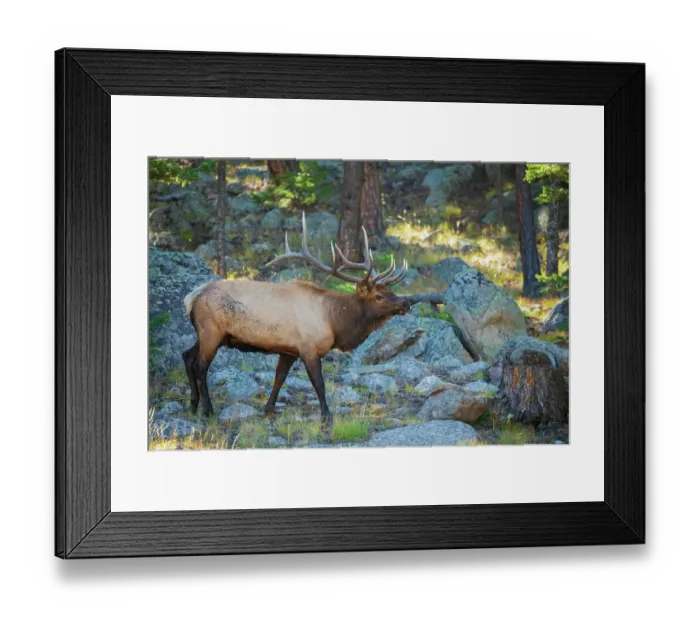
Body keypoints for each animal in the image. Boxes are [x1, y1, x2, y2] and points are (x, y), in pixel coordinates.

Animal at [182, 212, 415, 424]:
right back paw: (207, 410)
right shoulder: (308, 347)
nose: (406, 303)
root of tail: (192, 297)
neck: (334, 322)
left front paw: (269, 409)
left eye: (391, 290)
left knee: (187, 356)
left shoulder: (289, 350)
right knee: (200, 366)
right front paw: (326, 416)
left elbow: (280, 378)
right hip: (211, 331)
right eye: (378, 296)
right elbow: (319, 383)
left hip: (210, 334)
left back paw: (193, 406)